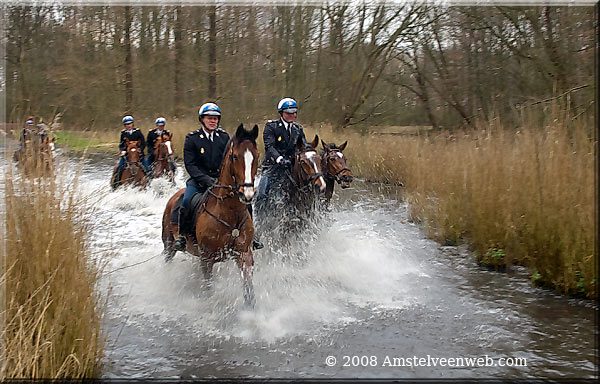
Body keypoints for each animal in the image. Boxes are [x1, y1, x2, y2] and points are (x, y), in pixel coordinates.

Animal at [162, 124, 260, 308]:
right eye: (235, 156)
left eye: (256, 156)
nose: (247, 194)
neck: (229, 213)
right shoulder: (207, 260)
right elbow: (208, 290)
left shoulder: (244, 255)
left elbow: (249, 291)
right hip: (169, 245)